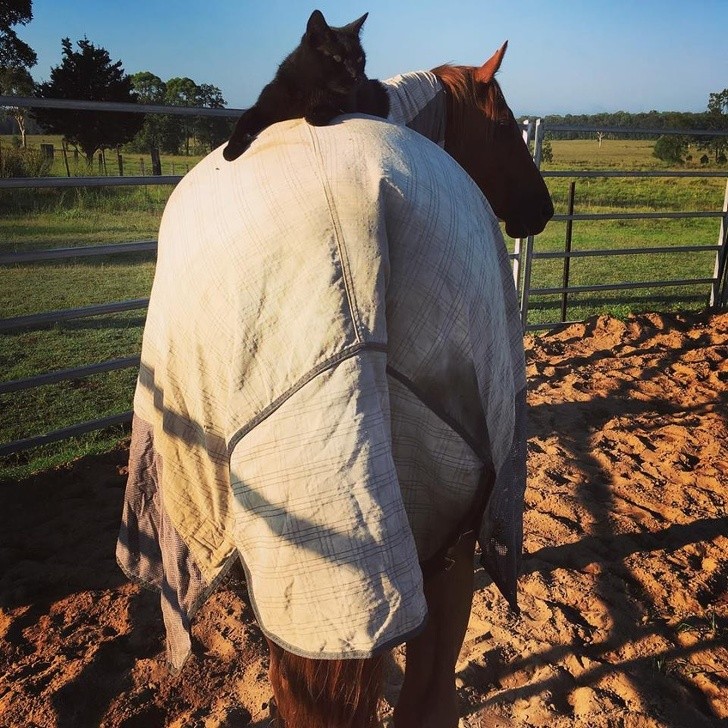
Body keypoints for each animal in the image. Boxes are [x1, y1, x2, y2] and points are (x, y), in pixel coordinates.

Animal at [223, 10, 390, 161]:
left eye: (360, 58)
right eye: (337, 58)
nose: (357, 76)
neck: (311, 88)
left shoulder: (348, 104)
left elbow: (330, 107)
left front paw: (314, 113)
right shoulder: (264, 107)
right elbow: (243, 119)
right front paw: (231, 149)